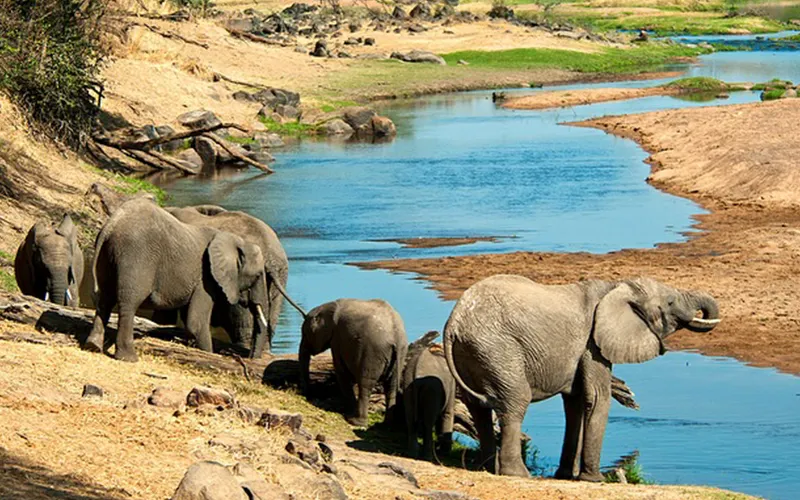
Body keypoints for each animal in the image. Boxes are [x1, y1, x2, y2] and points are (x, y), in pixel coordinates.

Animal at [83, 198, 271, 362]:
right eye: (258, 275)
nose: (250, 358)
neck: (234, 240)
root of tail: (111, 225)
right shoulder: (206, 278)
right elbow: (196, 322)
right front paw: (209, 354)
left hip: (107, 256)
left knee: (104, 299)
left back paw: (93, 346)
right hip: (136, 256)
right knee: (128, 302)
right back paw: (128, 358)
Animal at [300, 298, 408, 427]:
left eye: (304, 334)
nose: (306, 394)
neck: (329, 306)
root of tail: (396, 336)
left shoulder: (337, 339)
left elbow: (341, 372)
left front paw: (348, 413)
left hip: (372, 353)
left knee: (366, 384)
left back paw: (356, 422)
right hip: (400, 354)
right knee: (391, 386)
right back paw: (386, 425)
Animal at [402, 331, 456, 462]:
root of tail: (415, 372)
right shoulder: (452, 384)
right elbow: (448, 413)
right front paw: (445, 452)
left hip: (408, 386)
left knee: (410, 418)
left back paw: (412, 454)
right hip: (431, 390)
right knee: (428, 422)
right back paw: (428, 457)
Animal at [443, 274, 720, 480]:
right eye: (671, 302)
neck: (616, 287)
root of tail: (454, 323)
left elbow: (575, 403)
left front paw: (566, 475)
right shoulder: (593, 343)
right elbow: (597, 398)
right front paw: (594, 479)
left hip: (473, 353)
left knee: (478, 409)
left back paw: (486, 468)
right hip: (498, 349)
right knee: (515, 403)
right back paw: (518, 474)